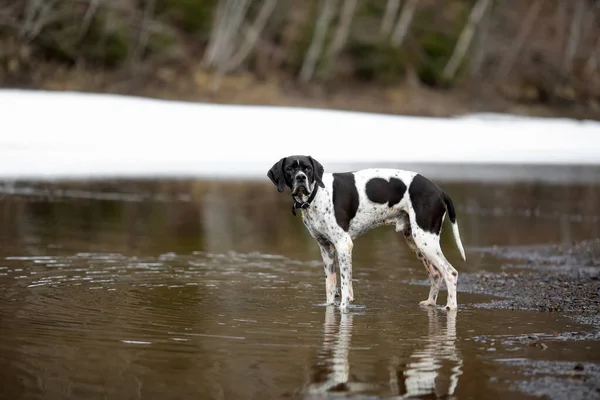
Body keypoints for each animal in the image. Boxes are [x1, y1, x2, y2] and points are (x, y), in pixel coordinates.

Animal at [268, 155, 468, 314]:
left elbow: (345, 286)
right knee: (436, 274)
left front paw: (344, 308)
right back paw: (431, 303)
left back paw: (451, 307)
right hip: (416, 242)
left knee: (450, 272)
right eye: (289, 168)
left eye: (307, 168)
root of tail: (439, 190)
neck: (317, 194)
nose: (301, 177)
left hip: (426, 239)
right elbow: (330, 286)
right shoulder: (326, 249)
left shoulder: (344, 244)